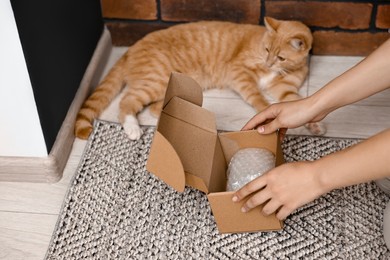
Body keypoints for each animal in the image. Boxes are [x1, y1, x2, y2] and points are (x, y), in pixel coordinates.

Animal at [74, 16, 324, 140]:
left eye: (280, 57)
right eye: (266, 50)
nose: (268, 63)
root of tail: (130, 49)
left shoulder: (285, 88)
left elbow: (297, 103)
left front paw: (314, 124)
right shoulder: (239, 73)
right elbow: (258, 98)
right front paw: (266, 112)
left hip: (169, 84)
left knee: (154, 107)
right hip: (157, 79)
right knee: (127, 102)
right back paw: (133, 129)